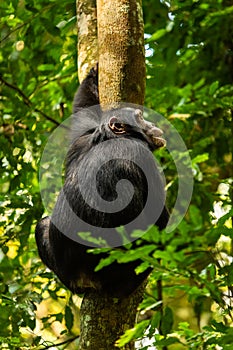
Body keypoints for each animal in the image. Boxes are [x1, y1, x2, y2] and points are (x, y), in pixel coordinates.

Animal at [35, 65, 168, 298]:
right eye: (140, 117)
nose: (152, 123)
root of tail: (85, 278)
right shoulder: (142, 156)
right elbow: (160, 216)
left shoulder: (82, 139)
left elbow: (84, 111)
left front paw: (94, 73)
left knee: (42, 224)